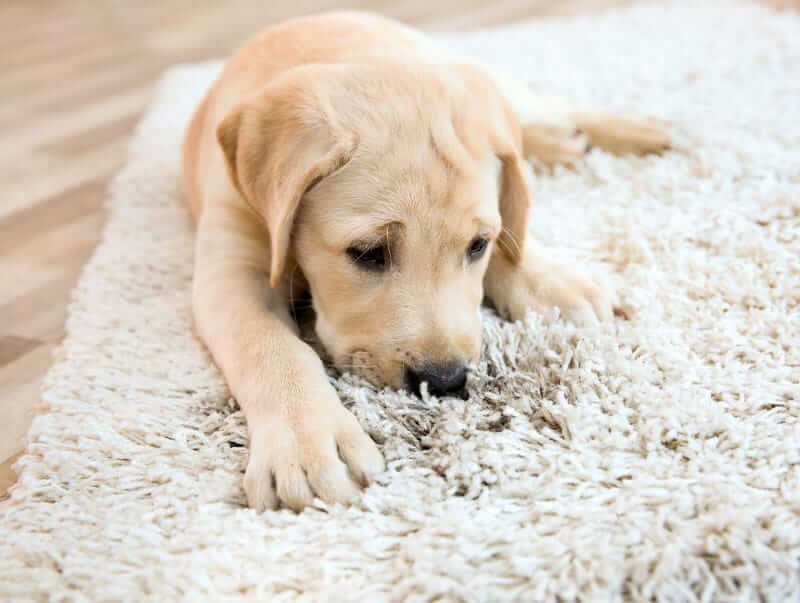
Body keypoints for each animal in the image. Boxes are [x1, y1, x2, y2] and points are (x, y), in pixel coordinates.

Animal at [183, 11, 676, 512]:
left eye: (477, 246)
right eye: (368, 252)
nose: (444, 381)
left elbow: (513, 221)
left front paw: (552, 280)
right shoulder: (232, 268)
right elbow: (270, 347)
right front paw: (307, 443)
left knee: (538, 115)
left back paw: (635, 130)